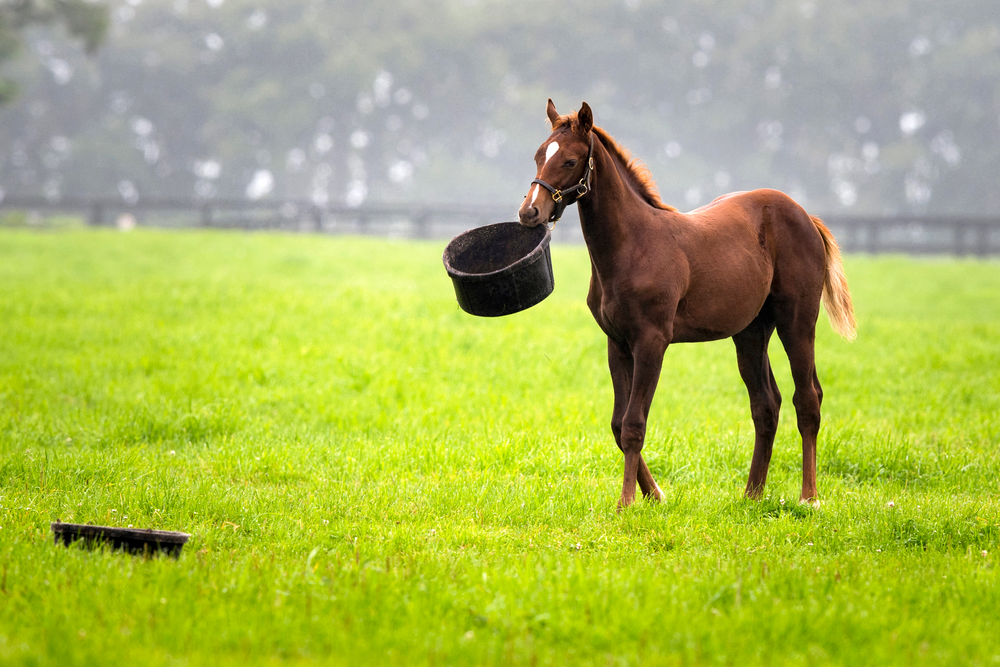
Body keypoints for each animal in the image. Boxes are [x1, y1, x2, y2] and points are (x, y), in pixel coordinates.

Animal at [520, 99, 856, 508]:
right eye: (539, 155)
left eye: (569, 160)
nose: (529, 212)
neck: (632, 245)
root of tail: (805, 215)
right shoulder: (617, 343)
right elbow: (617, 423)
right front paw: (654, 495)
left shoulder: (652, 341)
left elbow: (634, 423)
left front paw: (627, 502)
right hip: (751, 332)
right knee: (766, 403)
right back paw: (752, 495)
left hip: (797, 321)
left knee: (807, 400)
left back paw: (809, 497)